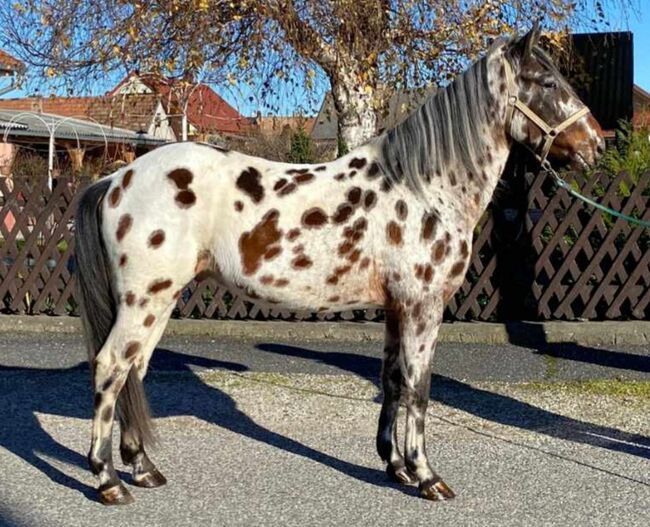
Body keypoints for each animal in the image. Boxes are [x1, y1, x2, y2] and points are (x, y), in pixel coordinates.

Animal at [74, 25, 604, 508]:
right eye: (547, 81)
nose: (596, 144)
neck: (423, 187)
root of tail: (117, 178)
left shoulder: (397, 309)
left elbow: (393, 380)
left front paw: (395, 466)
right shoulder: (423, 308)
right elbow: (420, 387)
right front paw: (427, 477)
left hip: (158, 301)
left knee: (134, 371)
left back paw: (144, 469)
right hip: (145, 300)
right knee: (111, 366)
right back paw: (109, 481)